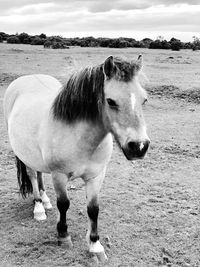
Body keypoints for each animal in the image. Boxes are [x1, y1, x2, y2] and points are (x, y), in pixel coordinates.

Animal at [3, 55, 150, 264]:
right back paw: (39, 208)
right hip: (24, 155)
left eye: (144, 99)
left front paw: (95, 246)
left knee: (39, 174)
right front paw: (63, 236)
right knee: (32, 174)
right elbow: (64, 204)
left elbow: (93, 209)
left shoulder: (96, 176)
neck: (80, 137)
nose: (139, 146)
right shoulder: (59, 175)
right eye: (111, 101)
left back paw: (45, 200)